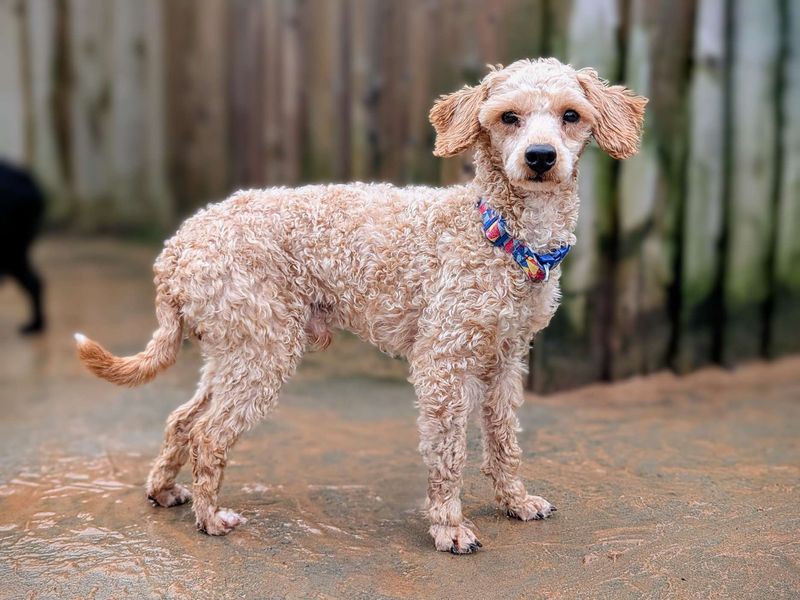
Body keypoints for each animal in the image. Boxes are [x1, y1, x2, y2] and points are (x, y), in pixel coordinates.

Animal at [76, 57, 644, 552]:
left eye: (570, 115)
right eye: (509, 117)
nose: (540, 157)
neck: (500, 235)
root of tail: (175, 249)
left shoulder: (505, 359)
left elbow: (505, 442)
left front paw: (515, 502)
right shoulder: (442, 363)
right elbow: (448, 455)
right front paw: (449, 528)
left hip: (234, 348)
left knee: (182, 419)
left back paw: (164, 491)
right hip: (264, 352)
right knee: (209, 435)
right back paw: (211, 518)